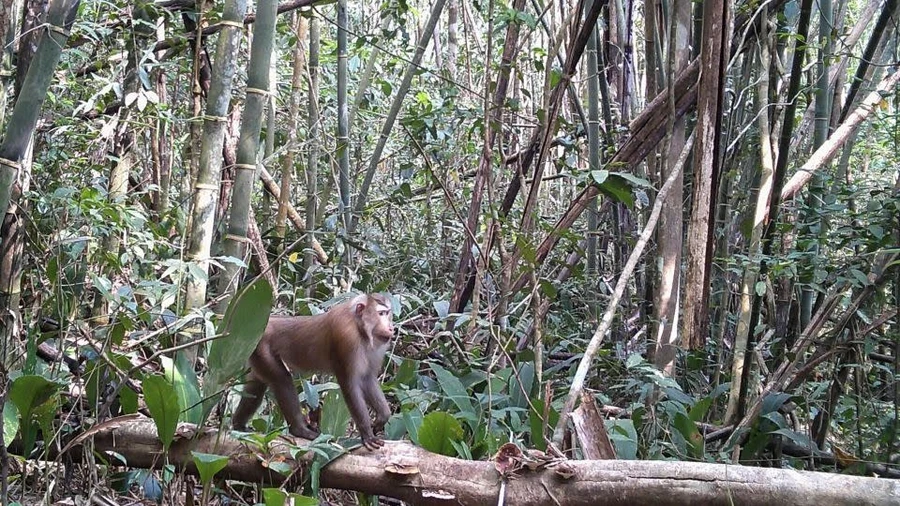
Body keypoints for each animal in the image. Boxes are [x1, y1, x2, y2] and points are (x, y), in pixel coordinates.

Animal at [234, 292, 396, 450]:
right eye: (381, 313)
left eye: (387, 313)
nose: (391, 328)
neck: (358, 326)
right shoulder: (346, 338)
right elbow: (349, 384)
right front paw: (367, 434)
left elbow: (367, 379)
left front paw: (383, 416)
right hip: (262, 348)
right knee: (281, 379)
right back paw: (299, 430)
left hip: (256, 352)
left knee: (256, 385)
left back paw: (238, 425)